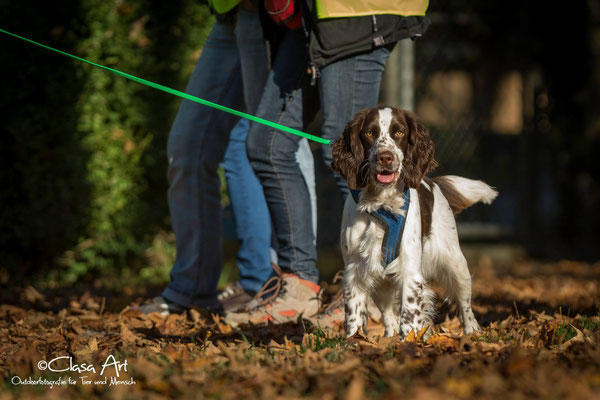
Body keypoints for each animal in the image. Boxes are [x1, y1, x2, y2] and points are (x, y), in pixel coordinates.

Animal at [332, 106, 496, 338]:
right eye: (369, 133)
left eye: (400, 132)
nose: (385, 157)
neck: (381, 204)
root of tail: (433, 182)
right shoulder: (354, 269)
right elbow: (354, 313)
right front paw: (354, 340)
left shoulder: (410, 268)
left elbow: (410, 313)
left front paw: (408, 340)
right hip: (382, 283)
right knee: (389, 314)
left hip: (456, 264)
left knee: (465, 305)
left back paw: (472, 332)